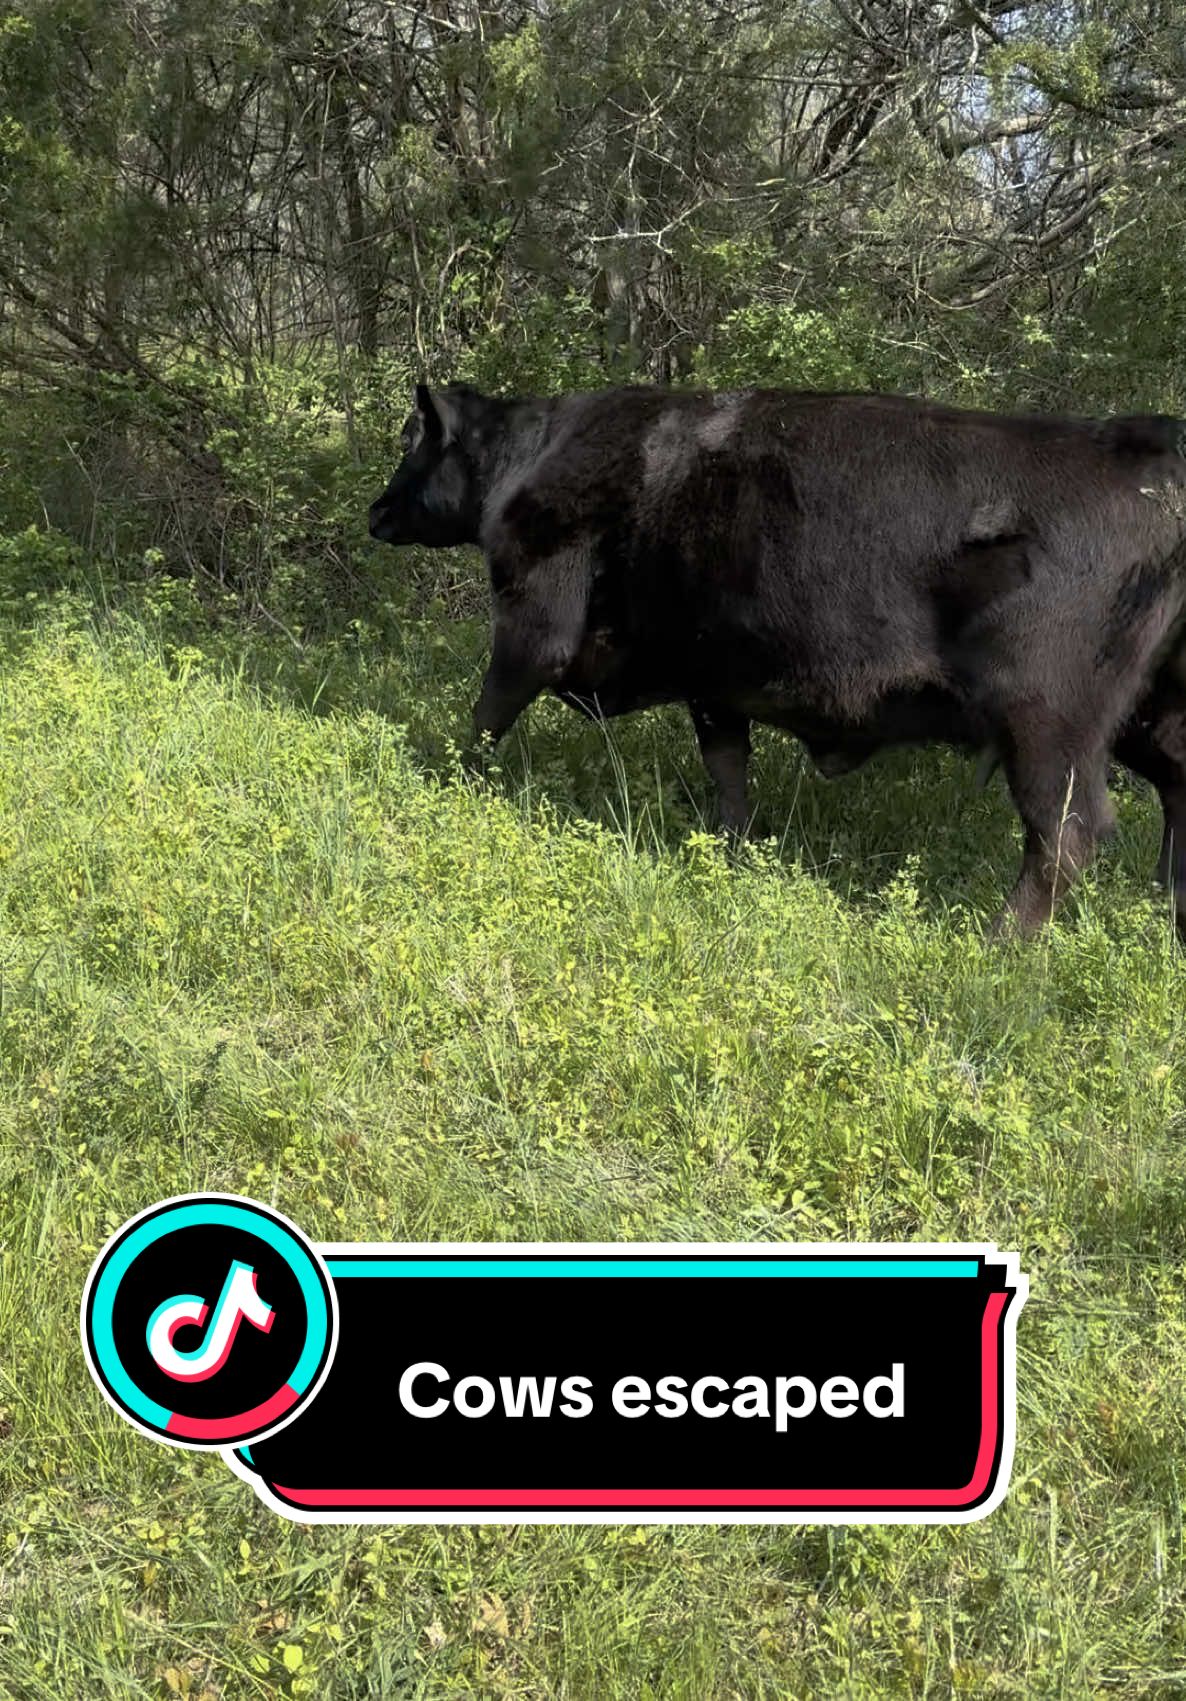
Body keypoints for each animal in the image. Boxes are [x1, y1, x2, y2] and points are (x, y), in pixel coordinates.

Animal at [368, 382, 1186, 938]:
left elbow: (487, 712)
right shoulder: (712, 675)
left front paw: (446, 772)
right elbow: (728, 769)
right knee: (1174, 797)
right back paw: (1164, 913)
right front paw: (730, 851)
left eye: (413, 441)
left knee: (1067, 833)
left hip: (1048, 719)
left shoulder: (535, 624)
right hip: (1150, 715)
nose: (373, 512)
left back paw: (999, 941)